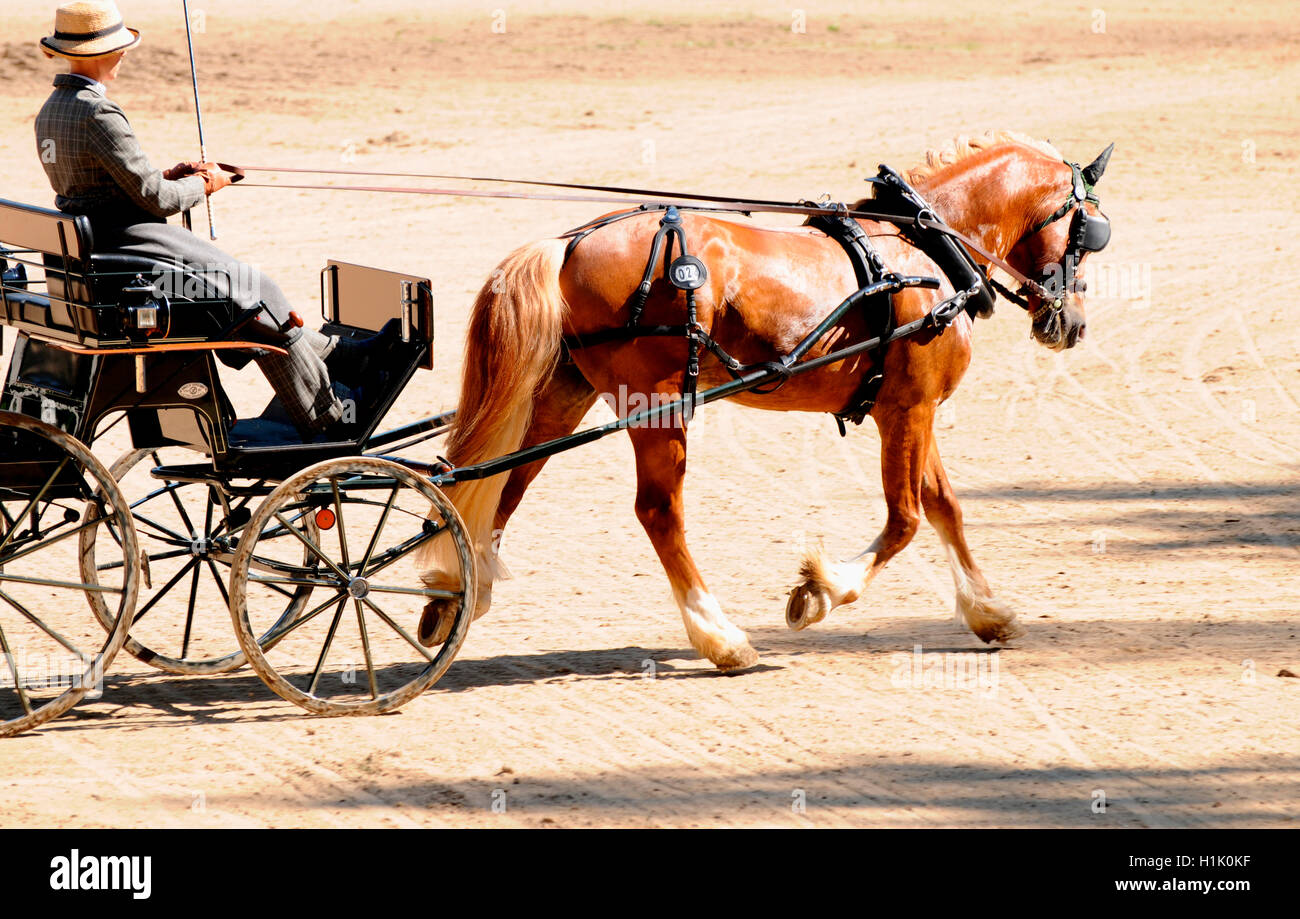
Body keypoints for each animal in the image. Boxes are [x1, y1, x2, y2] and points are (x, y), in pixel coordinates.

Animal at [418, 131, 1118, 670]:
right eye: (1091, 230)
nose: (1073, 323)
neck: (923, 250)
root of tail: (568, 244)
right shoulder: (911, 409)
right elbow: (906, 519)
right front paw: (821, 591)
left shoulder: (905, 409)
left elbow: (944, 506)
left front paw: (988, 611)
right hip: (657, 403)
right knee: (657, 512)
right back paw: (720, 638)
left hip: (566, 393)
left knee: (506, 482)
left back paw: (454, 591)